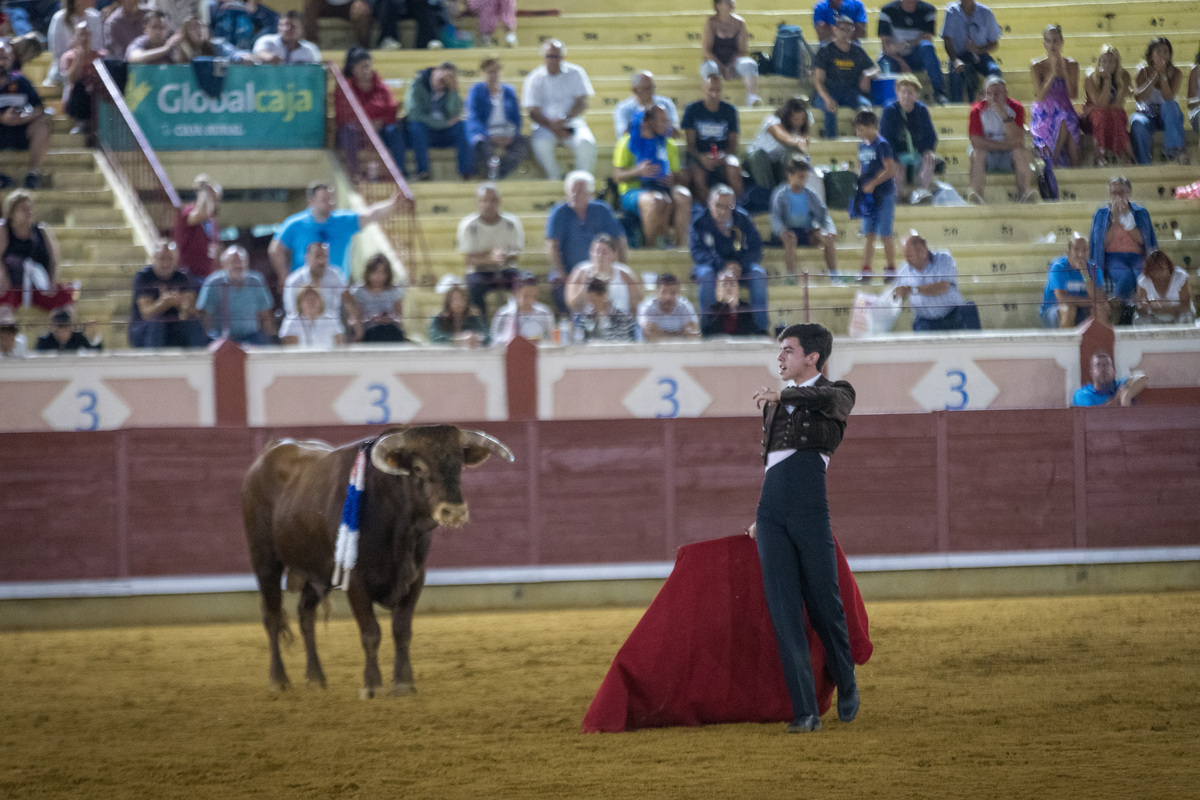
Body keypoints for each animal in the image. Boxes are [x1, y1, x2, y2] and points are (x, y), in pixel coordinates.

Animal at [241, 424, 513, 695]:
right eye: (417, 468)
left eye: (458, 466)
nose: (454, 512)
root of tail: (271, 451)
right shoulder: (355, 580)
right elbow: (371, 631)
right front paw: (372, 684)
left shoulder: (416, 578)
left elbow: (402, 631)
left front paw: (404, 682)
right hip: (264, 560)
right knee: (272, 616)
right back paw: (279, 680)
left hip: (317, 570)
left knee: (306, 614)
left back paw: (316, 677)